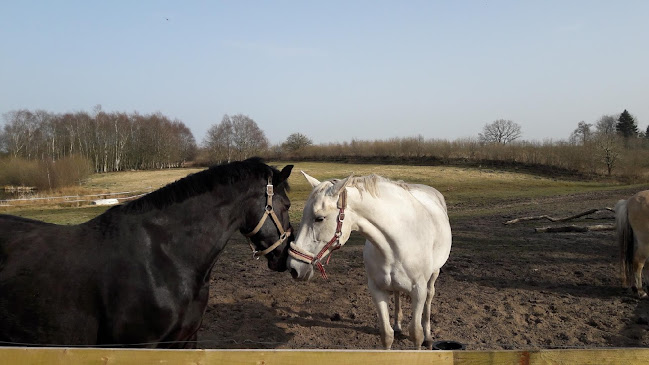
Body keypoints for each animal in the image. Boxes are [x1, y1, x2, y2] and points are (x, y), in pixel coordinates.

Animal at [286, 172, 454, 348]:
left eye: (319, 218)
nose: (293, 268)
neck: (400, 239)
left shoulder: (418, 291)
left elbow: (416, 334)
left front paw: (422, 337)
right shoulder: (377, 289)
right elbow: (386, 335)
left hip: (433, 275)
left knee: (429, 297)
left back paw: (428, 336)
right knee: (397, 294)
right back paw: (398, 325)